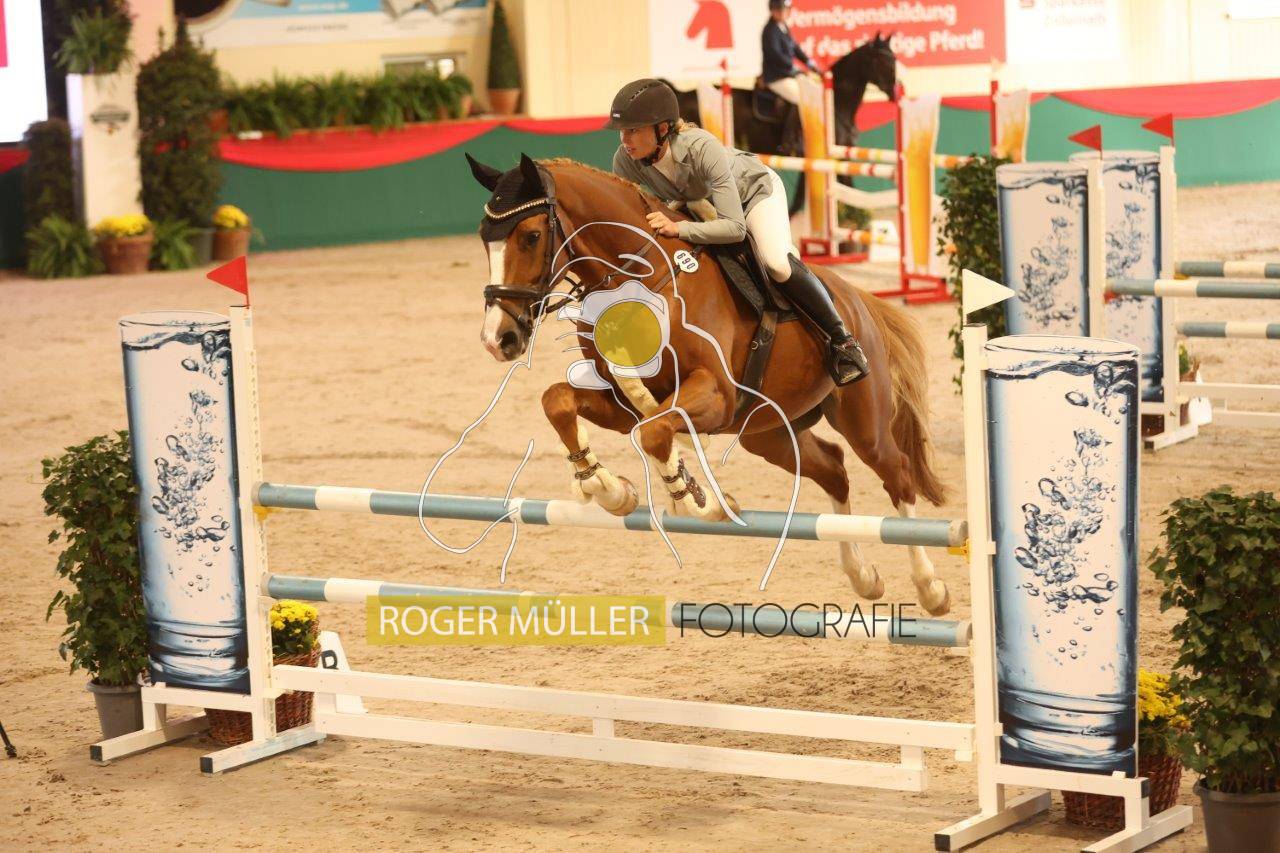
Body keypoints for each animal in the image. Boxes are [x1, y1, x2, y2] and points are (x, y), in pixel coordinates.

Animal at [465, 152, 950, 615]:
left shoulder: (715, 395)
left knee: (896, 473)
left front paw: (697, 500)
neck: (636, 278)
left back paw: (930, 588)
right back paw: (863, 577)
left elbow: (654, 431)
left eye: (530, 236)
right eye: (485, 237)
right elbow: (561, 401)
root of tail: (857, 299)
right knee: (833, 469)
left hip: (863, 420)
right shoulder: (622, 402)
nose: (497, 339)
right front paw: (610, 489)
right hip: (767, 432)